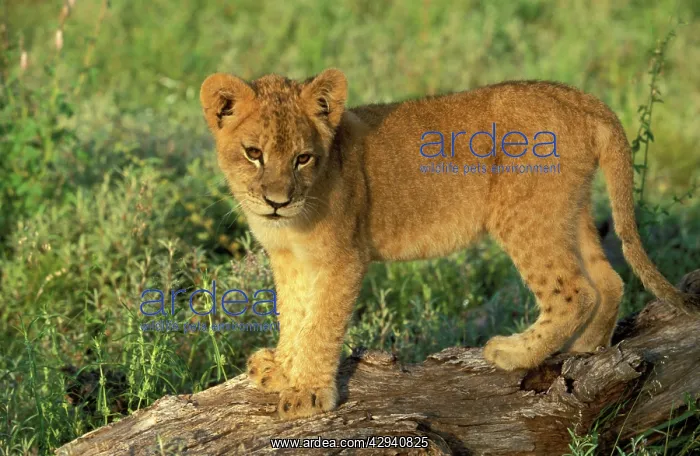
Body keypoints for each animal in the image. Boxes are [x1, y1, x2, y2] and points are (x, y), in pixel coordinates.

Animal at [199, 68, 699, 419]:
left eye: (303, 158)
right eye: (253, 153)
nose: (277, 201)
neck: (293, 221)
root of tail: (580, 97)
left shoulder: (342, 257)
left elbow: (320, 324)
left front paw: (307, 393)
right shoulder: (291, 260)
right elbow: (294, 315)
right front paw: (283, 369)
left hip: (524, 216)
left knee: (575, 290)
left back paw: (513, 353)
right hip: (567, 211)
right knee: (607, 280)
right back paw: (587, 352)